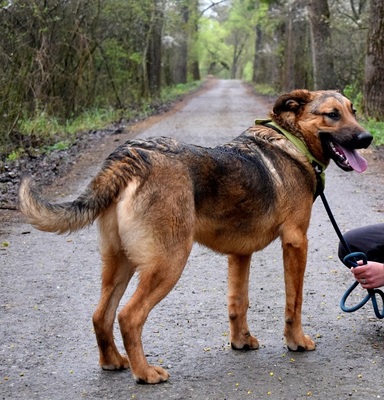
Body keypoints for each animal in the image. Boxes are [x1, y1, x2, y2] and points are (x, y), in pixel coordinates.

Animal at [18, 90, 372, 384]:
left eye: (353, 111)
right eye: (332, 114)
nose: (367, 137)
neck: (291, 141)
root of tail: (130, 156)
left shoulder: (240, 255)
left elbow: (238, 303)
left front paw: (241, 342)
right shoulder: (296, 242)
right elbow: (294, 302)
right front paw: (296, 342)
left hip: (119, 264)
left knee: (100, 315)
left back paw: (113, 362)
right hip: (168, 263)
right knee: (128, 317)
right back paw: (145, 373)